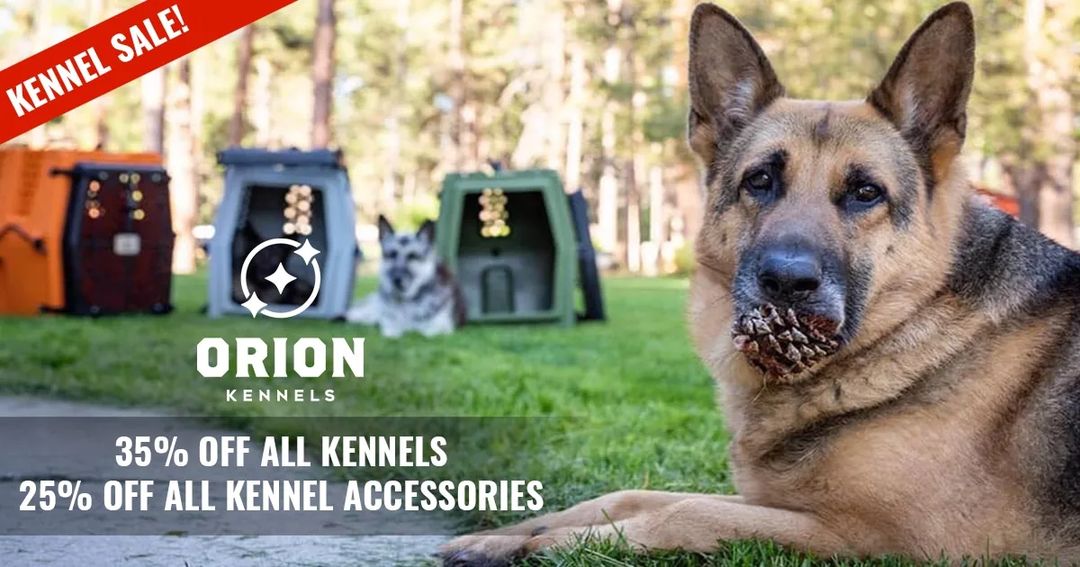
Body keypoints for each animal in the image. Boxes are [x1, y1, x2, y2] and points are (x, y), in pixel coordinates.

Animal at [441, 2, 1080, 564]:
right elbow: (628, 495)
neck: (913, 323)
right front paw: (508, 532)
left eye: (865, 192)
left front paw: (545, 544)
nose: (786, 282)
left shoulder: (873, 537)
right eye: (761, 180)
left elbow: (680, 513)